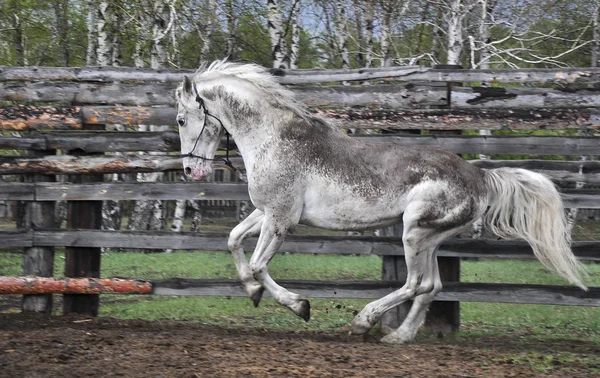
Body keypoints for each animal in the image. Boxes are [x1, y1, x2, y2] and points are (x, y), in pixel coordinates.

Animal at [173, 58, 584, 342]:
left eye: (180, 119)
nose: (191, 171)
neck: (275, 140)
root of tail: (481, 177)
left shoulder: (281, 218)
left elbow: (260, 264)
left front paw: (300, 306)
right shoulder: (268, 212)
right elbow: (233, 241)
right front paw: (253, 292)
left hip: (414, 232)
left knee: (415, 284)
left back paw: (364, 322)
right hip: (431, 239)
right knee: (432, 287)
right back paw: (399, 336)